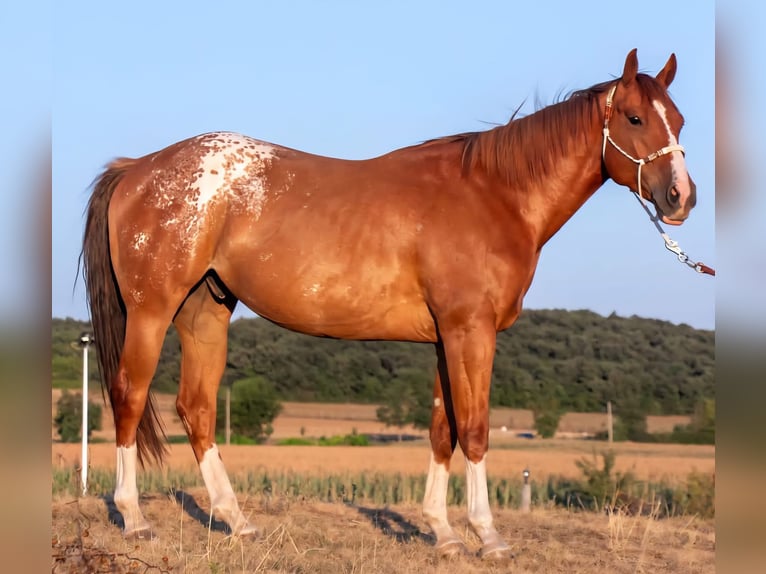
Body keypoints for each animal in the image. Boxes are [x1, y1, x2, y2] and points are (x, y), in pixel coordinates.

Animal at [81, 49, 696, 559]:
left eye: (680, 120)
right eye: (635, 119)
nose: (681, 198)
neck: (494, 194)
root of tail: (137, 169)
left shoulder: (446, 337)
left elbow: (444, 431)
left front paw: (443, 534)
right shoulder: (470, 331)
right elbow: (476, 428)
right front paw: (488, 537)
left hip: (205, 312)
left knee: (198, 409)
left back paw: (238, 522)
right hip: (152, 313)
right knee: (130, 397)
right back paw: (135, 521)